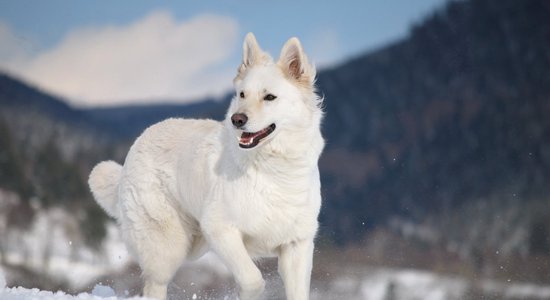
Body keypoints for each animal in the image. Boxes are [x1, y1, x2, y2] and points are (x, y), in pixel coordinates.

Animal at [88, 32, 326, 300]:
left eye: (269, 97)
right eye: (242, 94)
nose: (237, 119)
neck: (272, 168)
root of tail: (140, 140)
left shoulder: (297, 245)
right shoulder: (221, 230)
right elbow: (253, 279)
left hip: (193, 243)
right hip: (168, 246)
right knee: (154, 284)